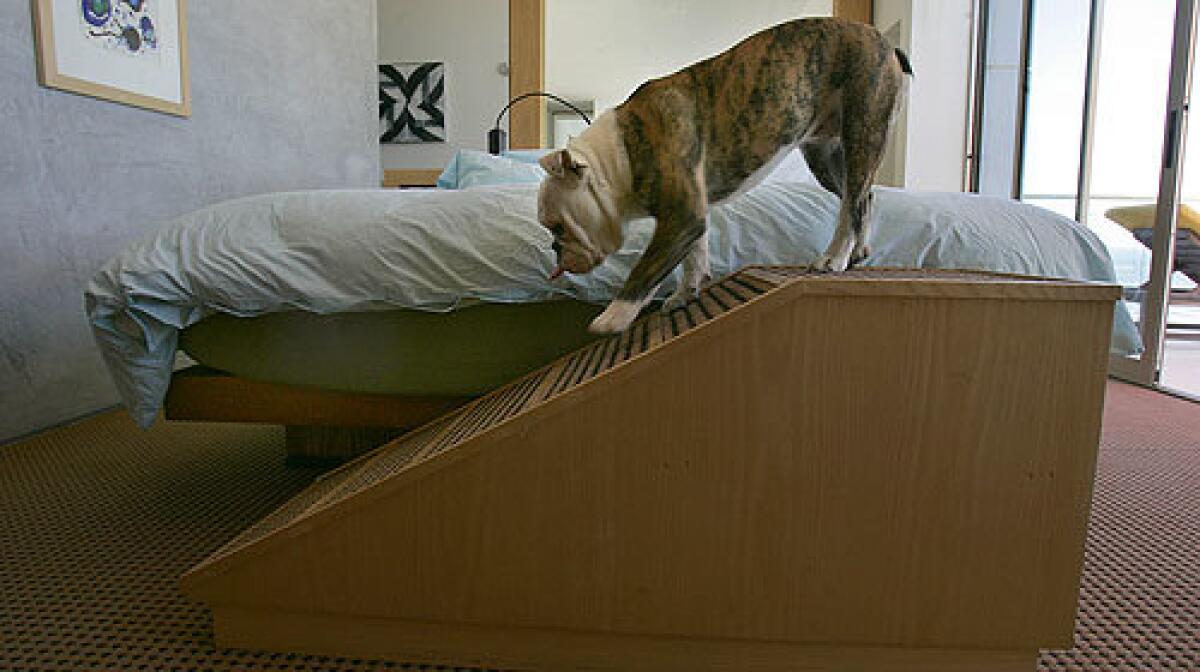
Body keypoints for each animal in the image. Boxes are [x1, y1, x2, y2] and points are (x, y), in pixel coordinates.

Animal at [535, 15, 907, 331]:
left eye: (558, 227)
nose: (554, 248)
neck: (617, 157)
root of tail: (885, 44)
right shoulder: (689, 214)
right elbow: (694, 256)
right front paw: (686, 292)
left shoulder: (681, 217)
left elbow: (644, 270)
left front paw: (613, 317)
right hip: (825, 158)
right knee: (862, 196)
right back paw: (857, 251)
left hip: (863, 130)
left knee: (851, 205)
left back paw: (834, 257)